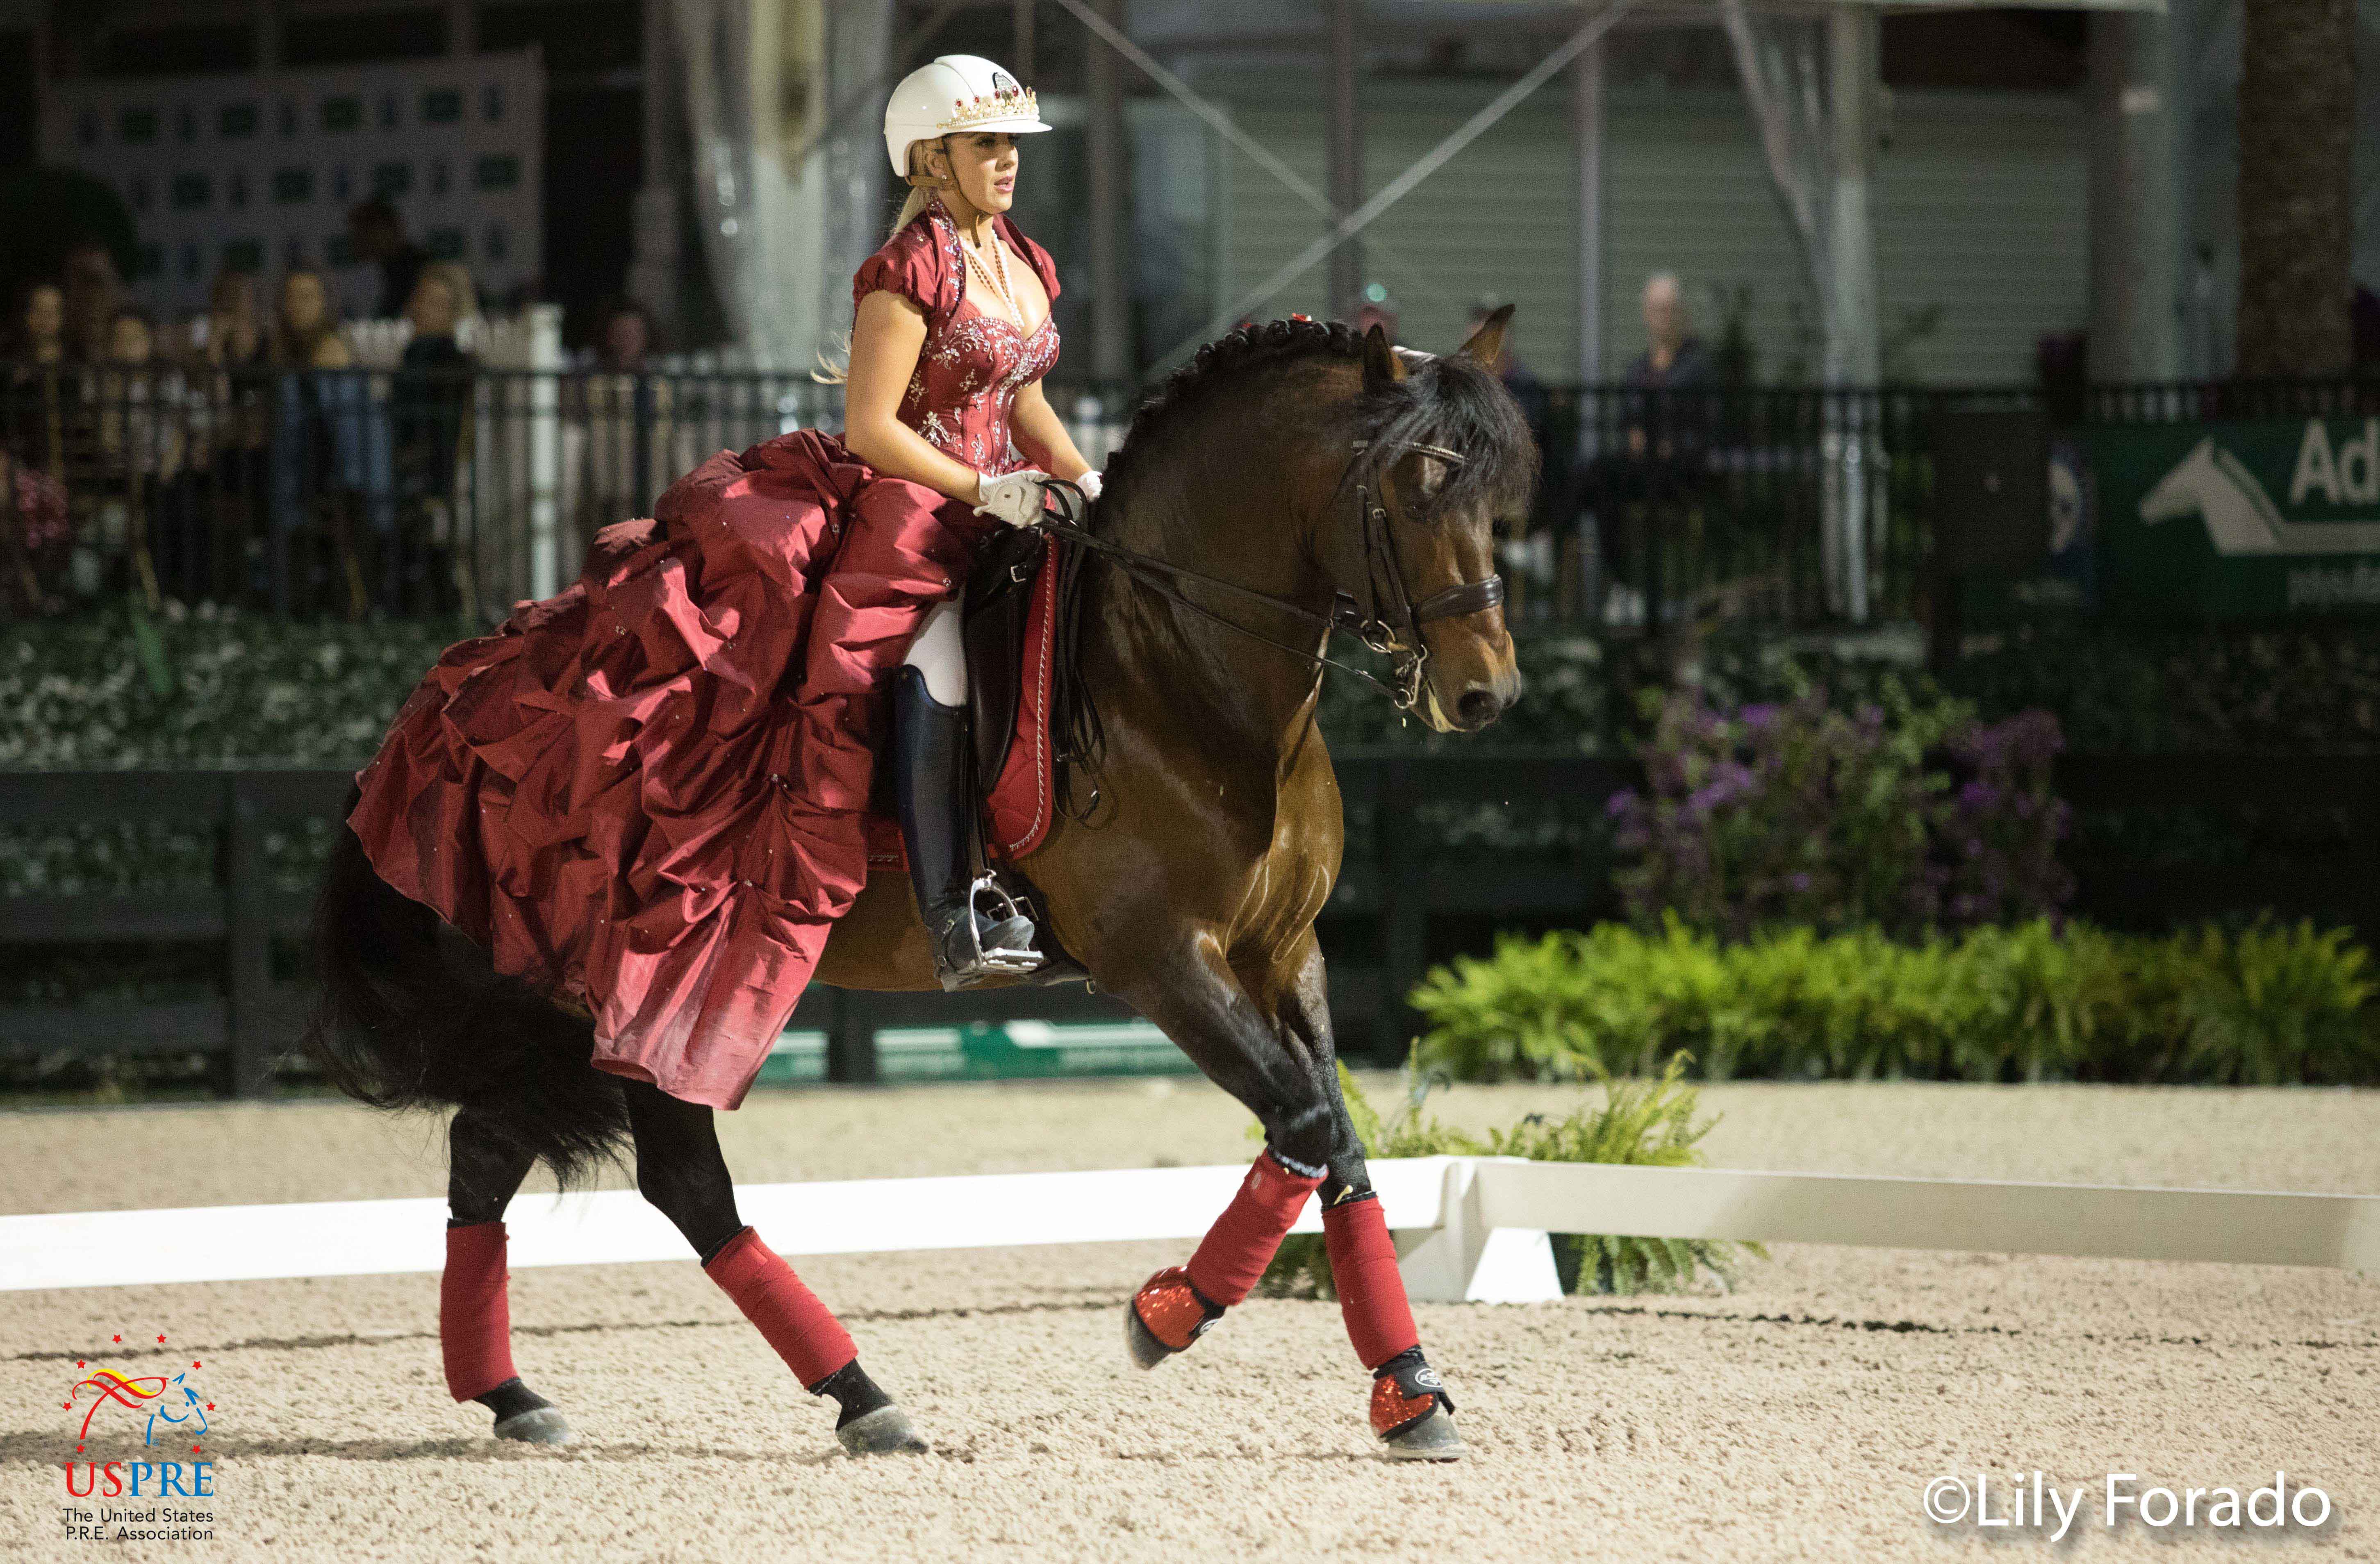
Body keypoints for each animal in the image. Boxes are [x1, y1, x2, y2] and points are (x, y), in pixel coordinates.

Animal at [302, 311, 1523, 1457]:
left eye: (1502, 498)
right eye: (1413, 488)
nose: (1486, 695)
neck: (1181, 672)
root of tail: (426, 724)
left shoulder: (1284, 953)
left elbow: (1336, 1142)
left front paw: (1406, 1390)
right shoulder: (1162, 960)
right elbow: (1302, 1120)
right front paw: (1166, 1314)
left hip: (562, 998)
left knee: (490, 1154)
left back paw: (513, 1396)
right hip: (637, 983)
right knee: (677, 1181)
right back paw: (861, 1397)